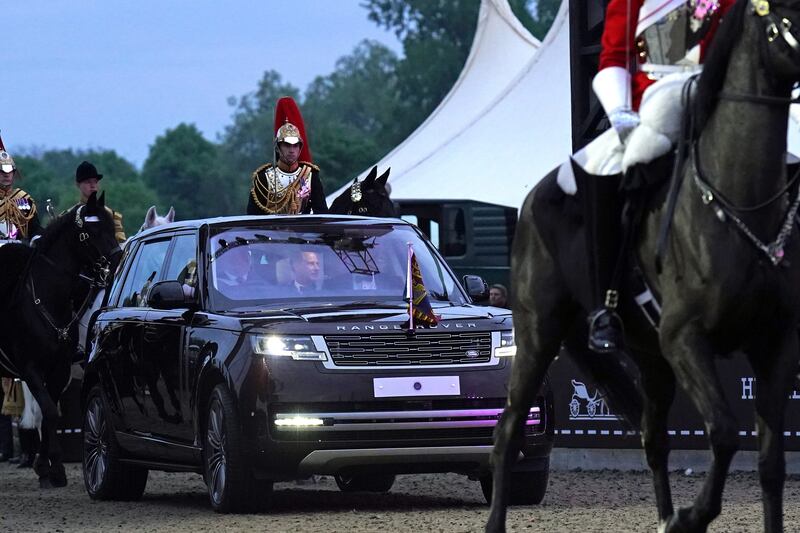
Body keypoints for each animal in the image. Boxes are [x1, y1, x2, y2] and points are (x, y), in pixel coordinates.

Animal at [0, 193, 120, 488]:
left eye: (111, 226)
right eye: (90, 232)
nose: (119, 261)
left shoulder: (59, 368)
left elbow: (48, 414)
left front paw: (48, 467)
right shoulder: (29, 367)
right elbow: (49, 412)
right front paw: (51, 467)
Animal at [484, 2, 800, 528]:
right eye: (780, 17)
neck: (739, 203)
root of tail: (531, 199)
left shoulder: (772, 344)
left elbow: (771, 463)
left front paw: (686, 516)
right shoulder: (684, 338)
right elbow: (724, 432)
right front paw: (693, 516)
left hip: (650, 357)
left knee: (654, 440)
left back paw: (663, 516)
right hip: (538, 331)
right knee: (507, 429)